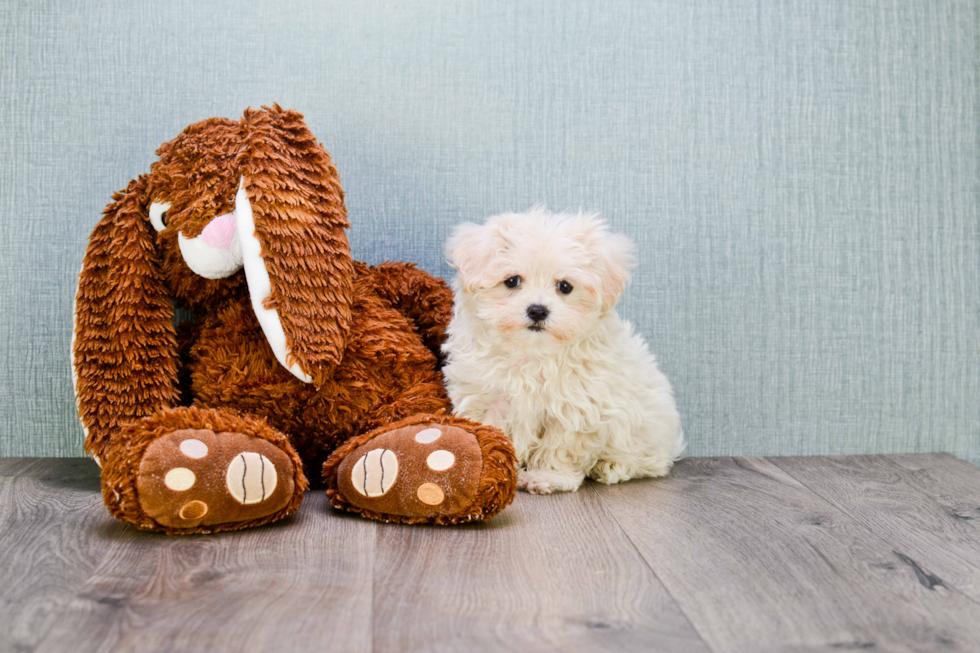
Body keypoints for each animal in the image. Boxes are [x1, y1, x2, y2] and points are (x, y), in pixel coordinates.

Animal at [442, 209, 680, 494]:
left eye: (565, 286)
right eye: (511, 281)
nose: (537, 310)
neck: (533, 353)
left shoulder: (577, 405)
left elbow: (561, 446)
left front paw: (548, 476)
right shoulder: (486, 396)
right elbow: (494, 432)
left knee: (648, 461)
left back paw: (611, 467)